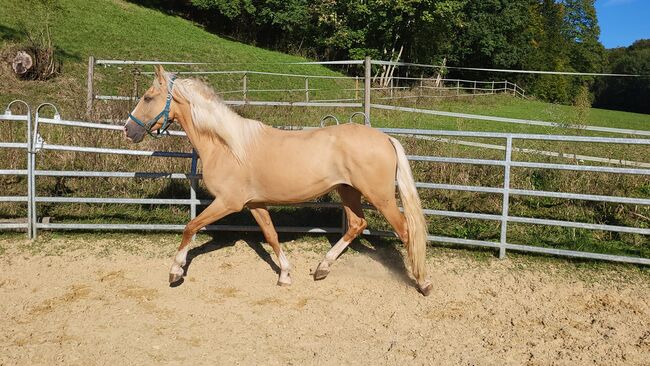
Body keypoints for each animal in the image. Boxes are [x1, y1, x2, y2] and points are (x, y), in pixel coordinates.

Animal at [124, 65, 432, 294]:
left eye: (148, 97)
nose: (128, 130)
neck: (228, 146)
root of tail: (385, 138)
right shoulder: (255, 204)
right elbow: (271, 235)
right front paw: (285, 274)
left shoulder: (228, 203)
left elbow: (190, 227)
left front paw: (175, 272)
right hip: (348, 191)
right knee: (357, 224)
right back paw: (321, 268)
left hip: (380, 197)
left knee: (406, 231)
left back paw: (423, 282)